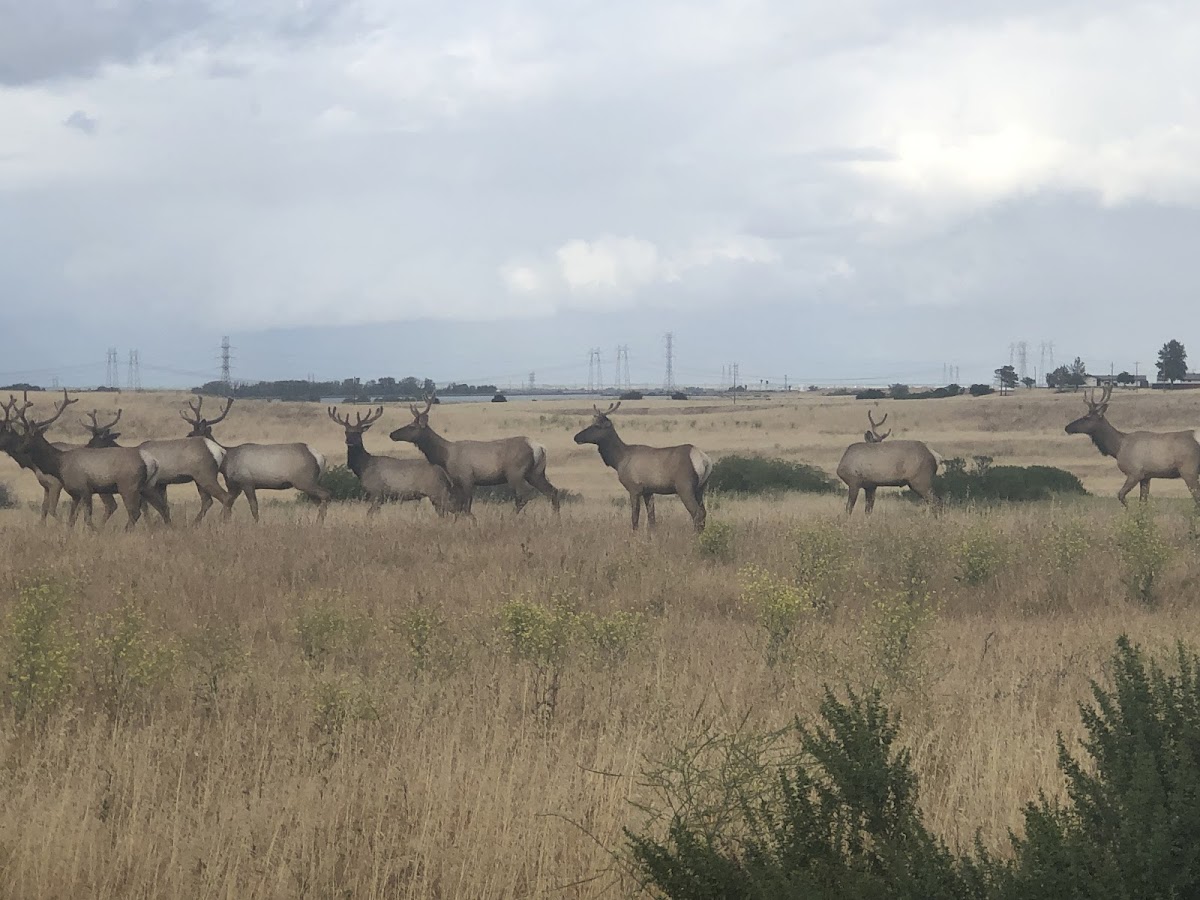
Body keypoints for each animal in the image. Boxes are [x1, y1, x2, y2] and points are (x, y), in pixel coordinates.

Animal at [177, 393, 331, 520]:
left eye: (192, 434)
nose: (184, 441)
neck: (226, 462)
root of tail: (320, 457)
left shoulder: (247, 481)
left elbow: (254, 507)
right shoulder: (234, 486)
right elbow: (227, 505)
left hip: (304, 480)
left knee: (326, 494)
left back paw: (319, 522)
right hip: (307, 483)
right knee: (319, 501)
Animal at [393, 400, 561, 518]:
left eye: (412, 427)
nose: (392, 434)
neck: (445, 457)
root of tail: (539, 447)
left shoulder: (467, 477)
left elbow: (466, 504)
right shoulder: (456, 481)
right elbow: (460, 504)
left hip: (516, 472)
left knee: (524, 495)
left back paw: (511, 518)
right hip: (536, 472)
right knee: (552, 491)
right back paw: (556, 518)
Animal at [571, 403, 710, 535]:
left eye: (597, 426)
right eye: (591, 423)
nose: (576, 437)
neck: (618, 459)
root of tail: (705, 460)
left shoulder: (634, 488)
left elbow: (634, 517)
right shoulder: (648, 491)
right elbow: (652, 519)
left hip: (684, 487)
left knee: (697, 513)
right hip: (700, 488)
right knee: (704, 512)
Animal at [1065, 381, 1195, 508]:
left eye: (1086, 417)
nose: (1067, 427)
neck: (1117, 448)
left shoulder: (1135, 473)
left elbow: (1121, 495)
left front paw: (1129, 511)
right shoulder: (1146, 476)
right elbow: (1142, 503)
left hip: (1188, 470)